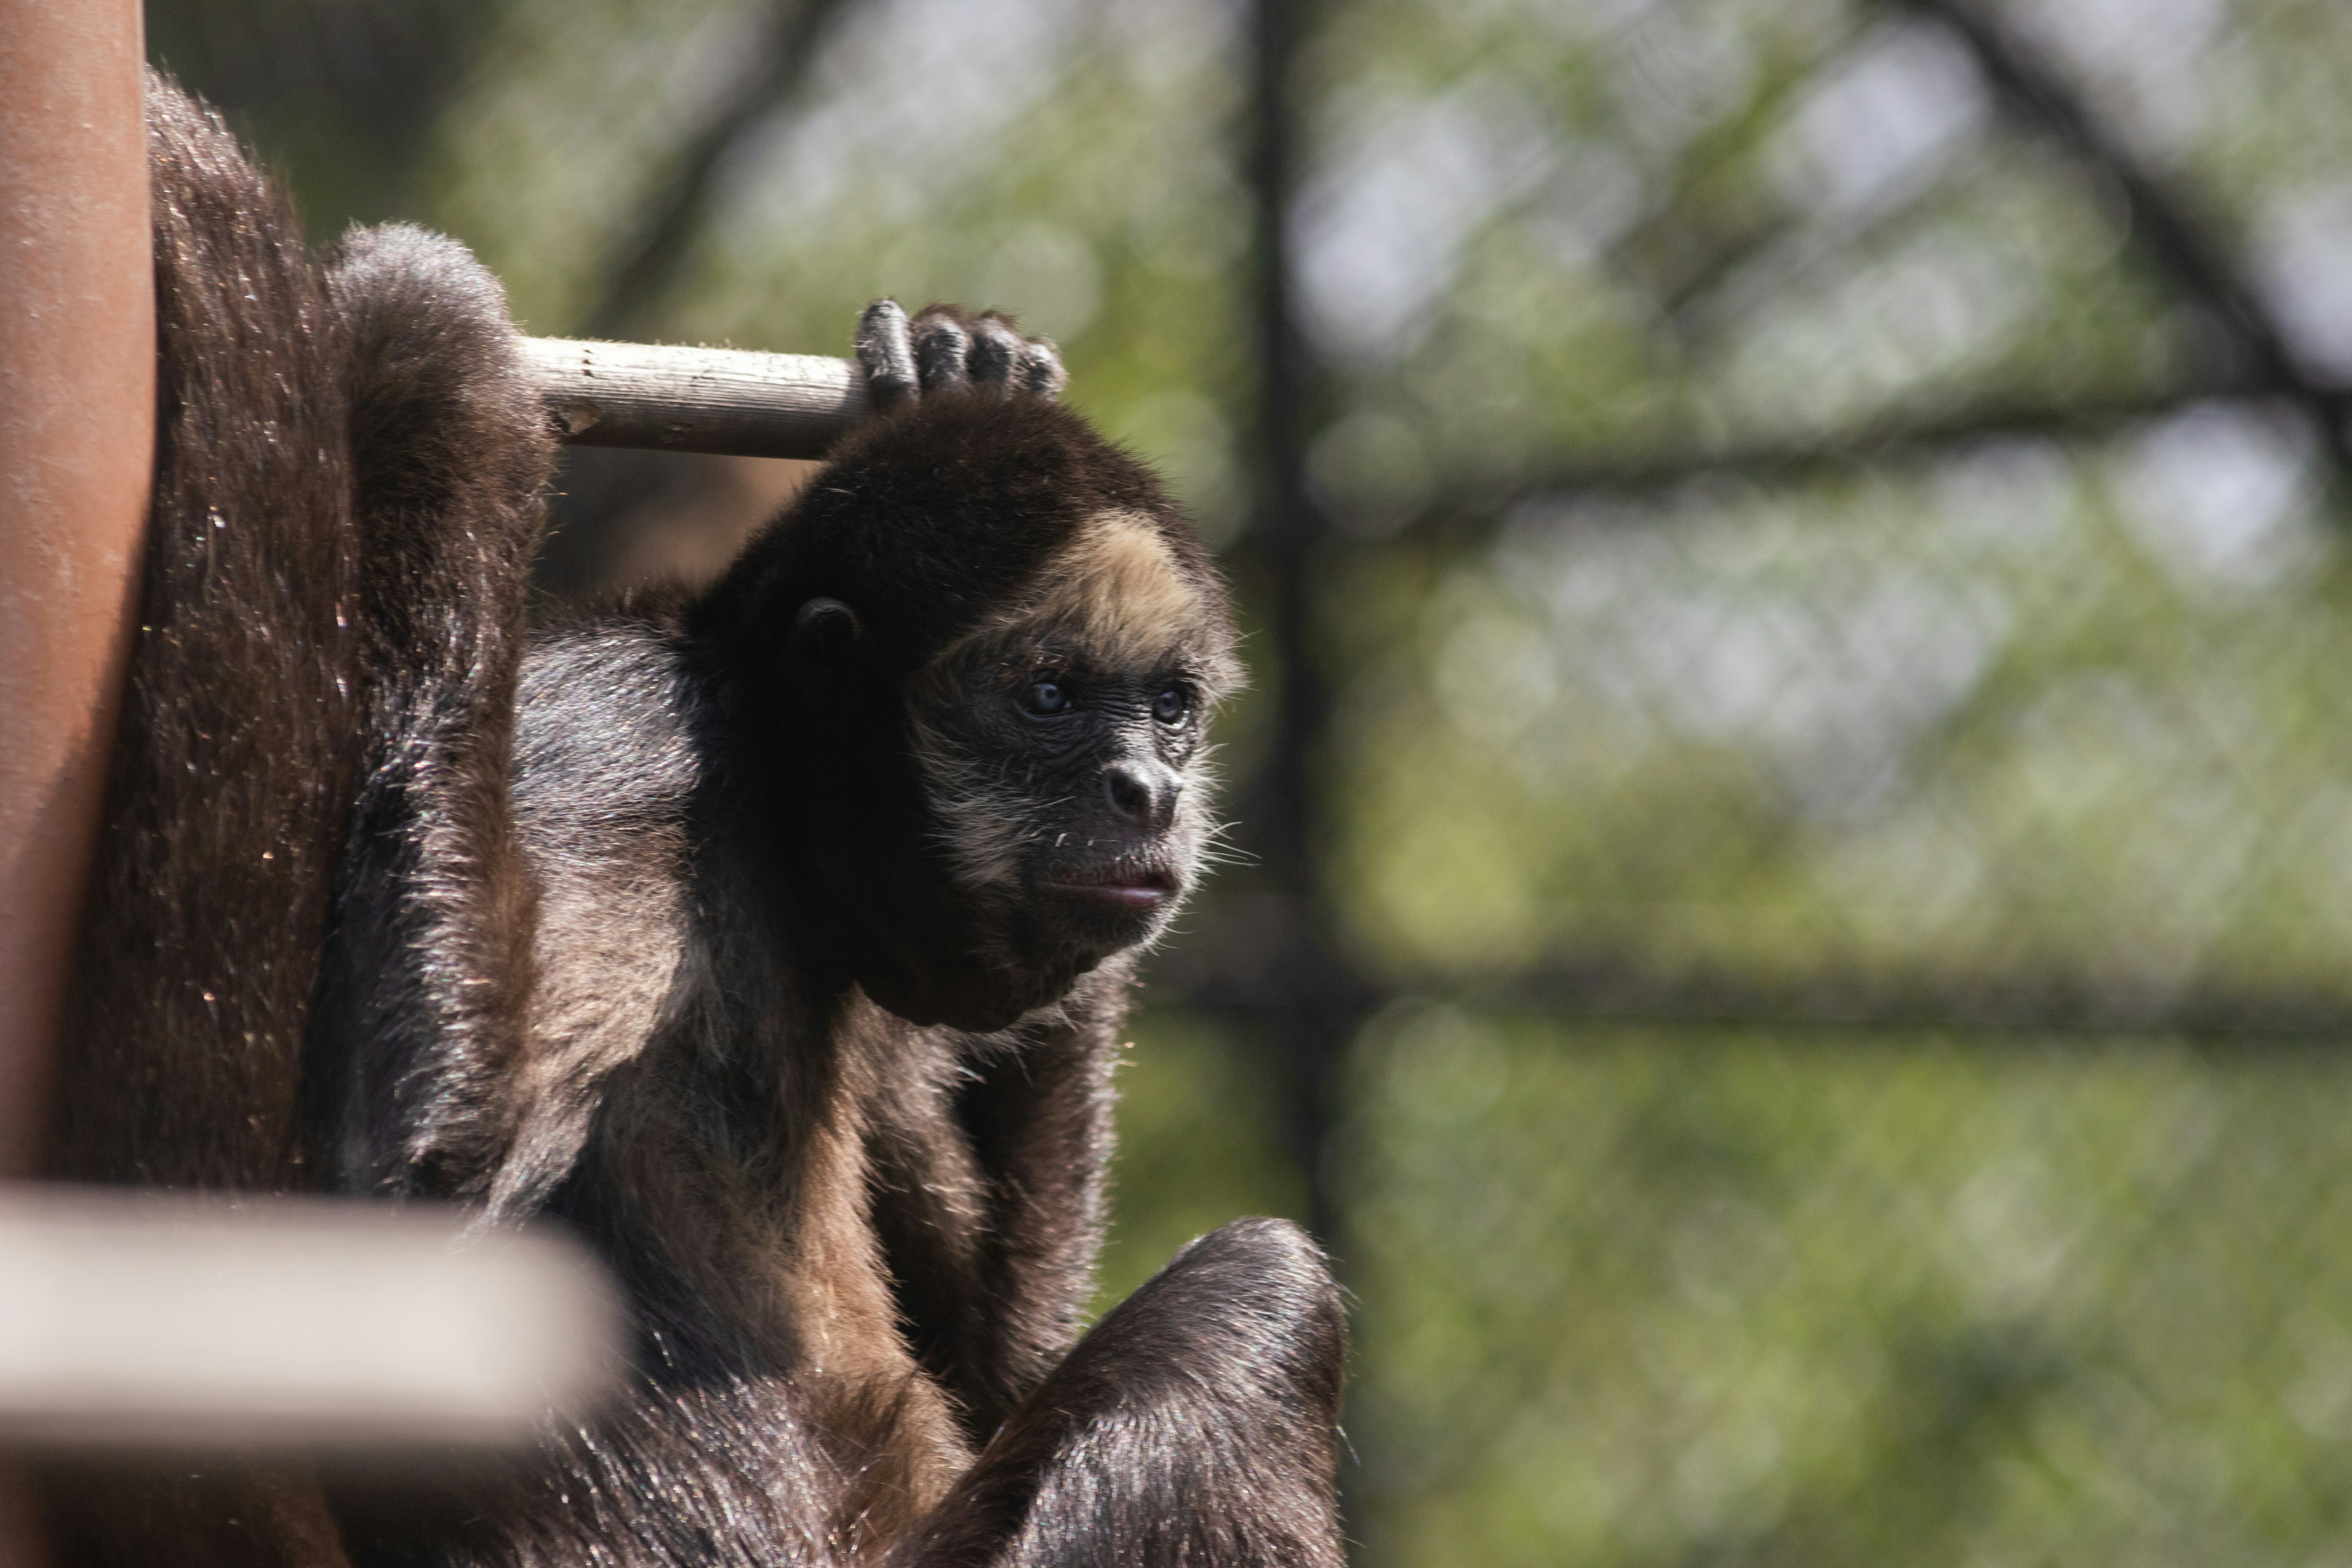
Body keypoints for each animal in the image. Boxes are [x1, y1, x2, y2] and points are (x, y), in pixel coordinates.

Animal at [46, 70, 1354, 1568]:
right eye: (1049, 696)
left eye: (1172, 708)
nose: (1149, 791)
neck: (774, 837)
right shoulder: (633, 739)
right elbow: (398, 1202)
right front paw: (439, 350)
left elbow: (995, 1363)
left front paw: (958, 362)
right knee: (1265, 1287)